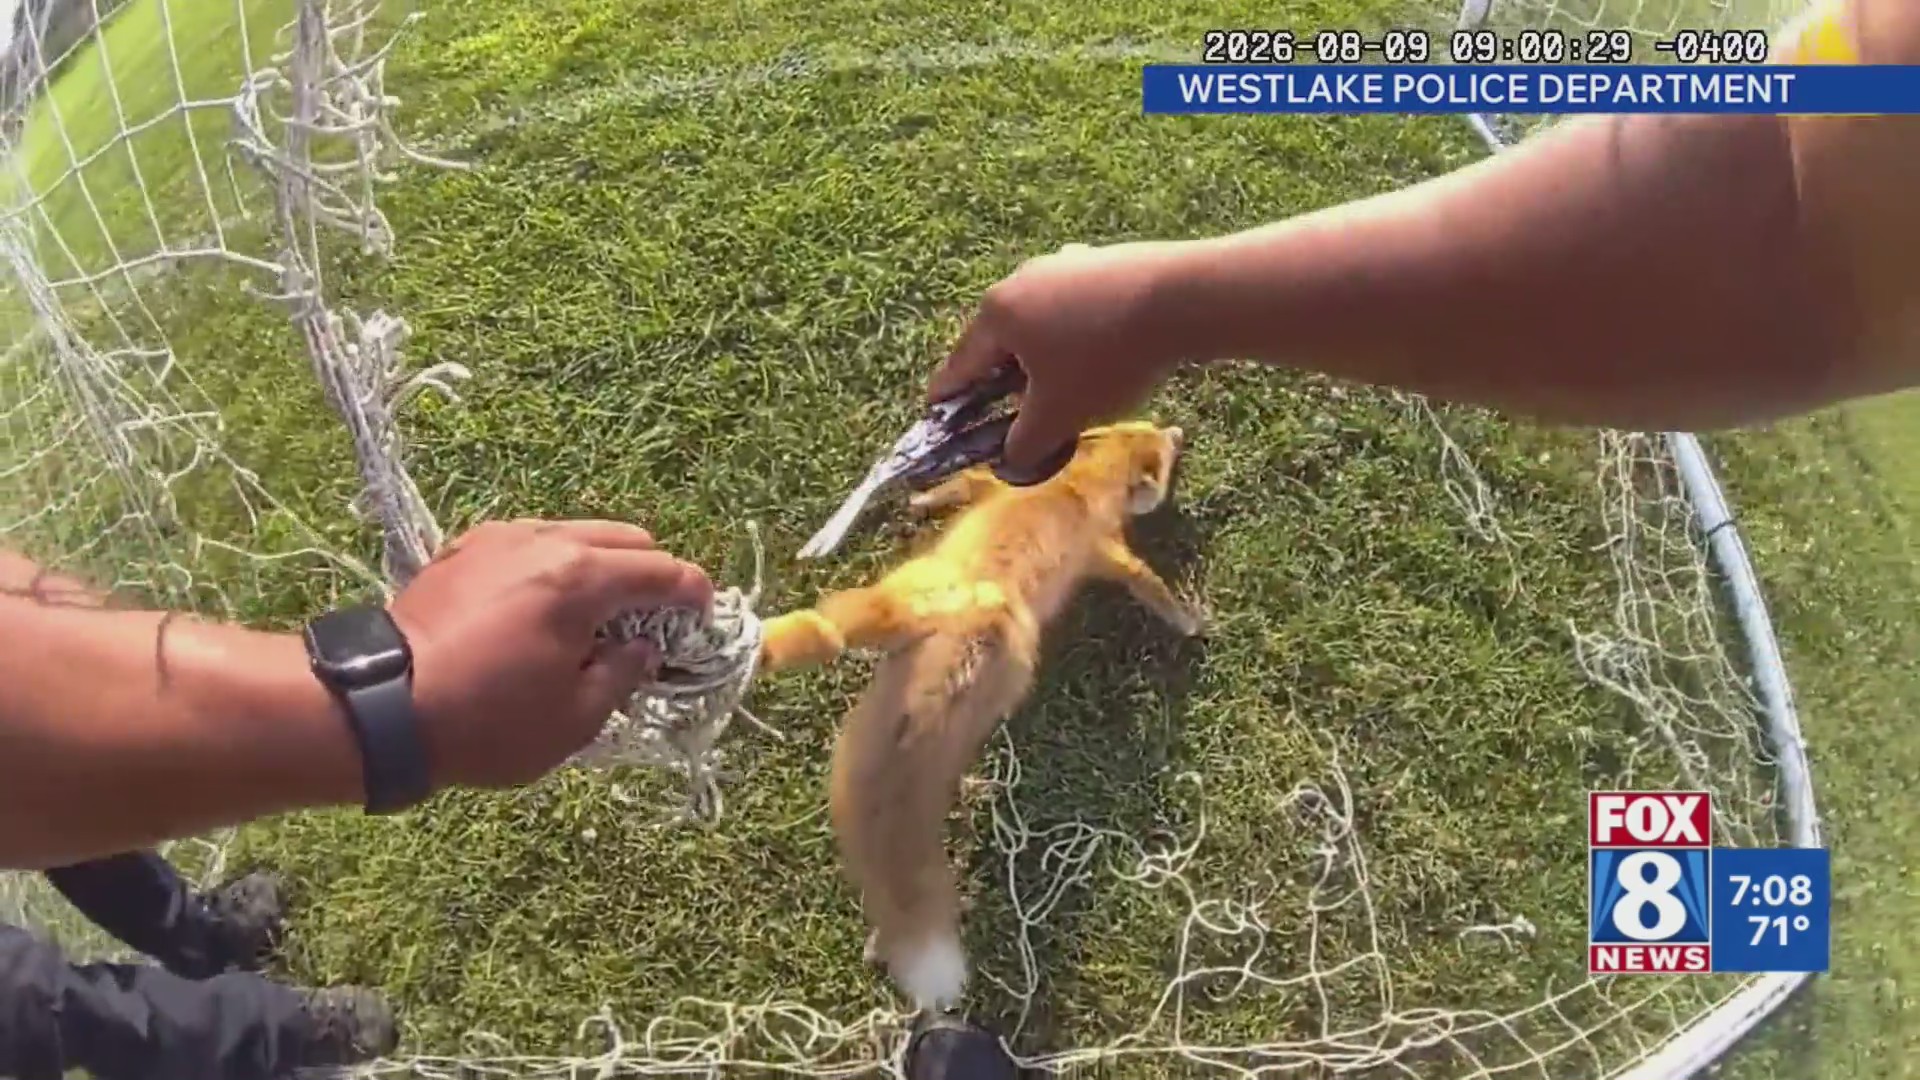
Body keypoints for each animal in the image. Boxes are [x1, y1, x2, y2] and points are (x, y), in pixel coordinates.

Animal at [759, 420, 1202, 1011]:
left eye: (1145, 427)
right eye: (1163, 451)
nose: (1179, 429)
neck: (1077, 485)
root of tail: (967, 608)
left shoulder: (988, 486)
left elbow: (959, 484)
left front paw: (920, 499)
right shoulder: (1105, 551)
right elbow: (1148, 583)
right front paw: (1189, 619)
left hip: (883, 599)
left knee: (819, 630)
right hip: (1012, 671)